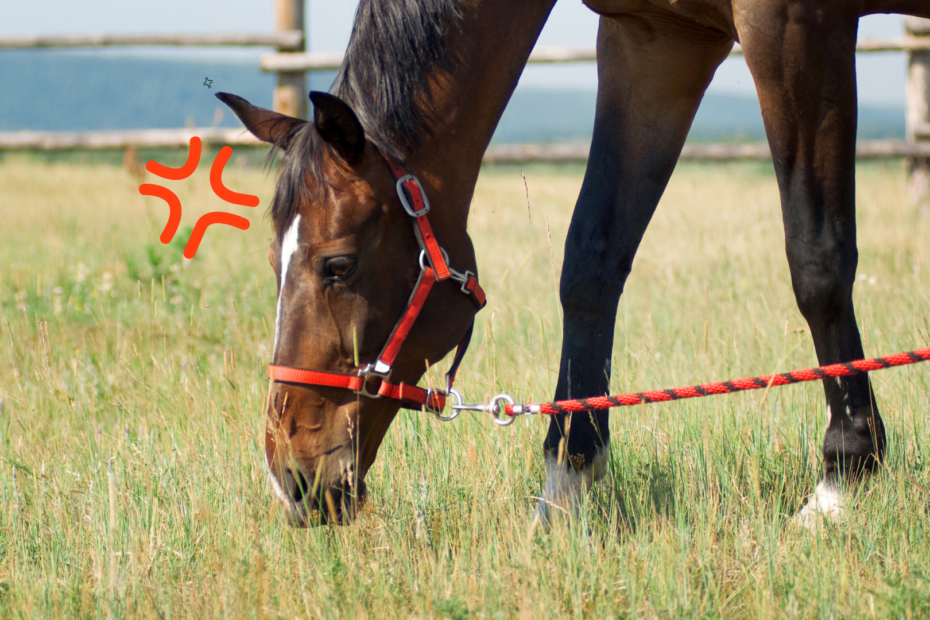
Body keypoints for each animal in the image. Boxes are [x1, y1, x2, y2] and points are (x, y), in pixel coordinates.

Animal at [219, 0, 928, 524]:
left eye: (337, 266)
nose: (290, 477)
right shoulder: (654, 38)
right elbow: (591, 260)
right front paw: (567, 481)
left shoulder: (794, 23)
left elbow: (817, 258)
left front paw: (842, 478)